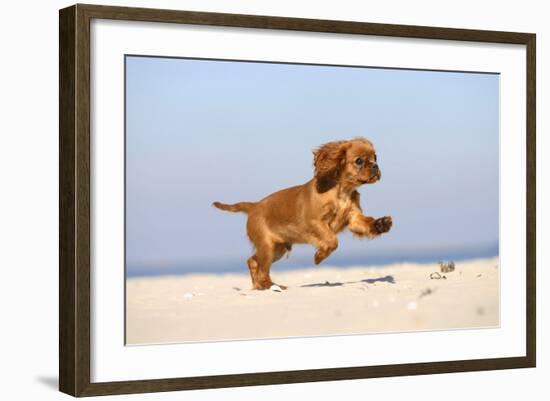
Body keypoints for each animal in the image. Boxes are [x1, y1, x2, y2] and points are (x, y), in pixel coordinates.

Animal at [213, 137, 394, 288]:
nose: (375, 166)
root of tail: (254, 205)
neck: (342, 192)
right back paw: (267, 285)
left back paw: (261, 286)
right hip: (267, 246)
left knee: (252, 261)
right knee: (260, 266)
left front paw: (381, 224)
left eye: (375, 157)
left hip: (277, 249)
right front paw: (319, 256)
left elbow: (364, 224)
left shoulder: (353, 218)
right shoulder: (315, 222)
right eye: (359, 161)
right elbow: (332, 240)